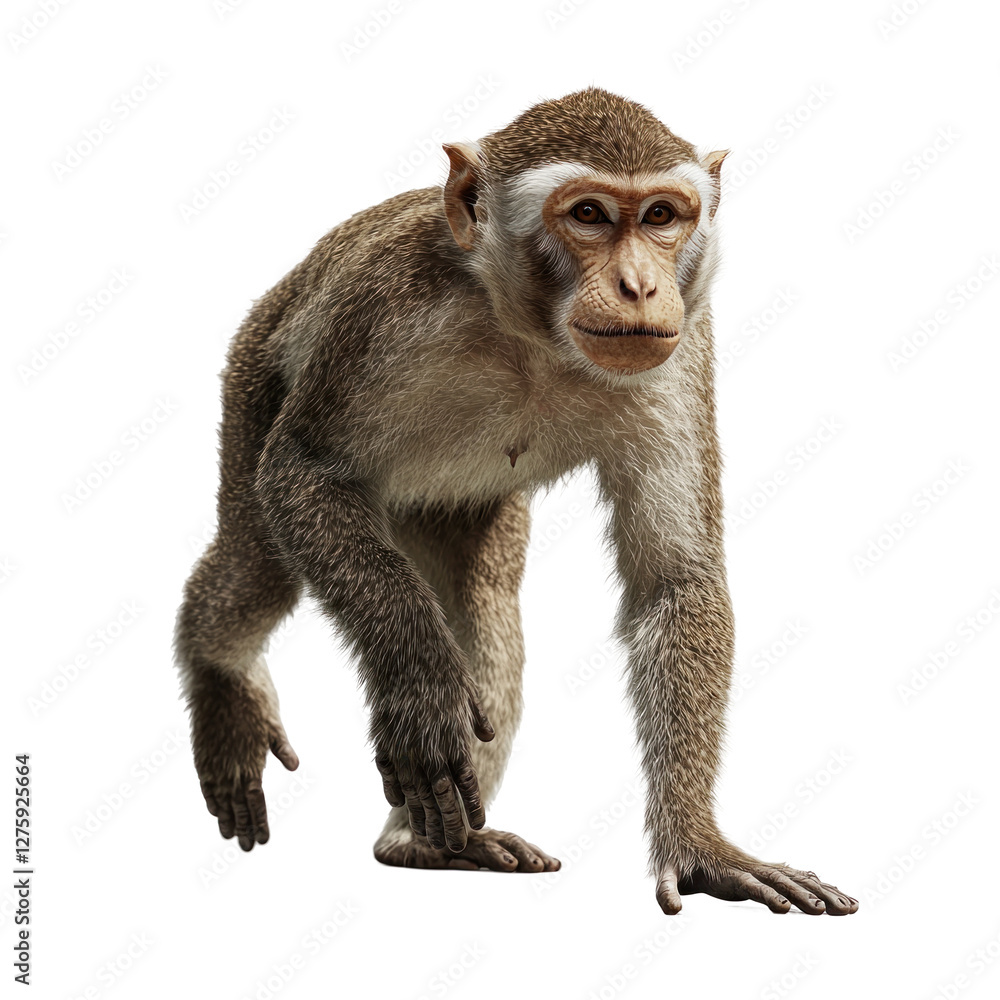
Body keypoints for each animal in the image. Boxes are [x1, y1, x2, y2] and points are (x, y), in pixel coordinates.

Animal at [175, 87, 858, 916]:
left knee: (487, 596)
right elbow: (302, 471)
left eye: (662, 216)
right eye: (590, 214)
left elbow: (675, 580)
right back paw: (218, 674)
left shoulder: (681, 343)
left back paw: (428, 846)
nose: (640, 285)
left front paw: (700, 845)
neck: (535, 339)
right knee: (259, 557)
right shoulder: (385, 310)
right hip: (250, 370)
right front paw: (421, 684)